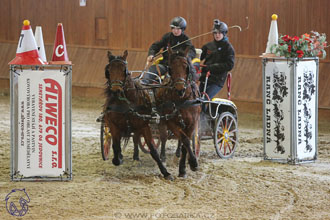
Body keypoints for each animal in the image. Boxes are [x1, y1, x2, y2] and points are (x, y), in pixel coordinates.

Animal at [103, 50, 173, 180]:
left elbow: (153, 149)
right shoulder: (113, 125)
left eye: (124, 70)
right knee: (135, 139)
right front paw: (118, 158)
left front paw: (166, 172)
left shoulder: (144, 125)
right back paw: (135, 157)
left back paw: (164, 156)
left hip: (160, 122)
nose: (115, 90)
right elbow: (116, 147)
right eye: (108, 70)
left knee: (163, 137)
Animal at [157, 46, 201, 177]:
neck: (182, 100)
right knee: (163, 136)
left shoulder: (192, 123)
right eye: (170, 68)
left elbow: (185, 143)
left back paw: (177, 155)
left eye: (186, 66)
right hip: (162, 120)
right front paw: (193, 163)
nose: (180, 89)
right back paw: (163, 157)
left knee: (179, 141)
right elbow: (185, 141)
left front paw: (183, 167)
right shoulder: (171, 122)